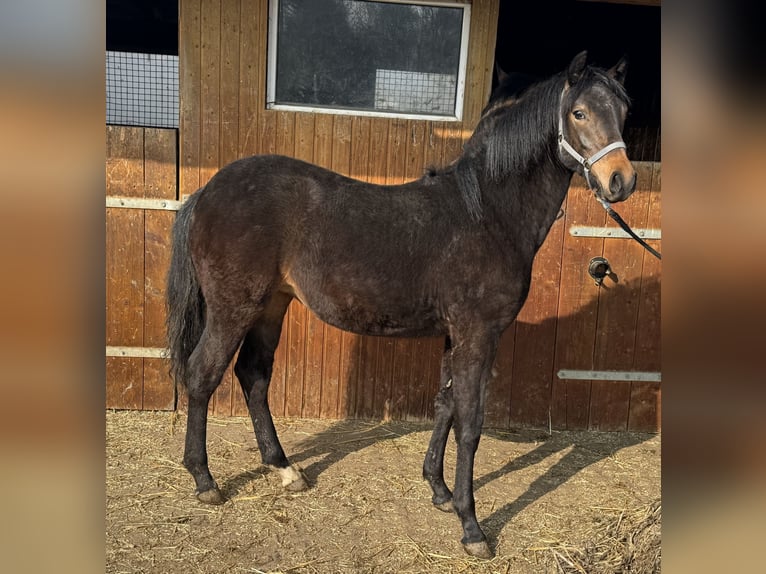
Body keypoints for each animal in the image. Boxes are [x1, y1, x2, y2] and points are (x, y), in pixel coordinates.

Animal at [166, 51, 635, 559]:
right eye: (579, 113)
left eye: (623, 111)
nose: (621, 181)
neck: (487, 215)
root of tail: (208, 191)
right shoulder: (478, 334)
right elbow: (470, 424)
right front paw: (472, 527)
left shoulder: (455, 334)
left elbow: (445, 405)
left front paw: (440, 491)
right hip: (234, 307)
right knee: (203, 374)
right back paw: (205, 481)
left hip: (272, 305)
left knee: (253, 375)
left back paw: (285, 469)